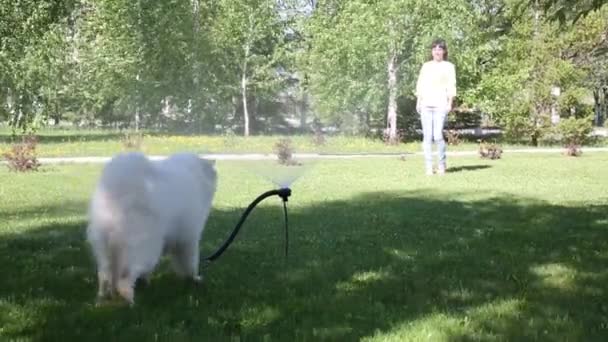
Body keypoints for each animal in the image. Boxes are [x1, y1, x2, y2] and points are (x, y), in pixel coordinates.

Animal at [85, 152, 217, 304]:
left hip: (105, 249)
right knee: (125, 279)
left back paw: (102, 299)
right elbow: (191, 262)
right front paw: (195, 278)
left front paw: (146, 281)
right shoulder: (189, 238)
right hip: (146, 247)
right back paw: (130, 301)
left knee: (104, 275)